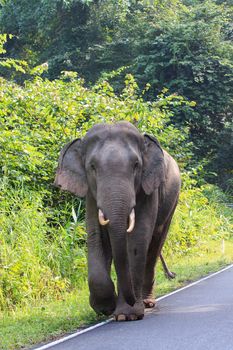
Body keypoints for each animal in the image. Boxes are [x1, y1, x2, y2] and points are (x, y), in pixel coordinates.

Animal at [54, 121, 180, 322]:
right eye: (92, 167)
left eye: (136, 165)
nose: (131, 300)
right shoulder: (91, 195)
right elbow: (96, 237)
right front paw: (105, 308)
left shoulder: (148, 191)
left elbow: (137, 239)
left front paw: (126, 315)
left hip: (172, 203)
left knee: (154, 246)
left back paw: (147, 302)